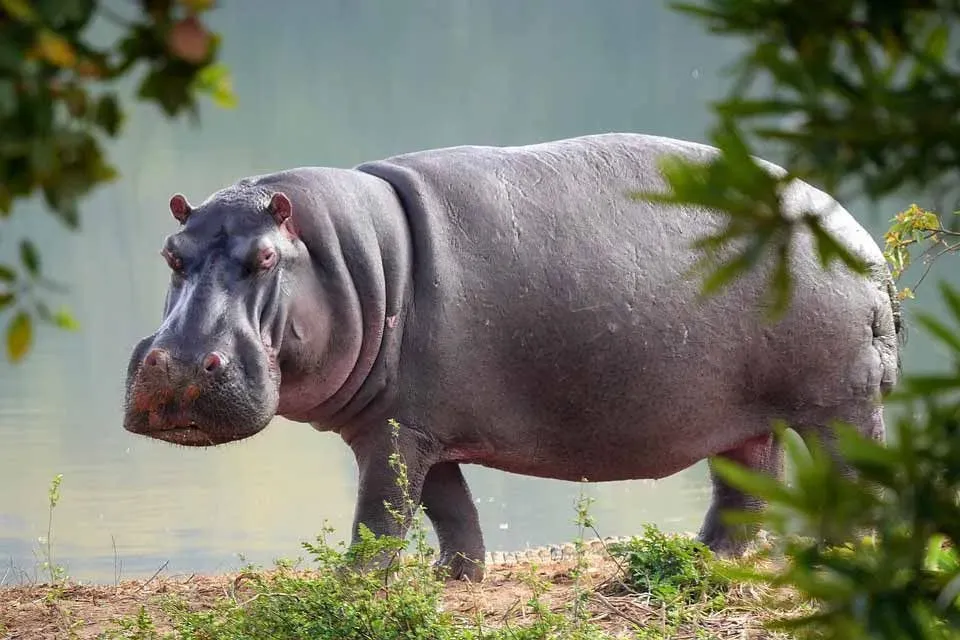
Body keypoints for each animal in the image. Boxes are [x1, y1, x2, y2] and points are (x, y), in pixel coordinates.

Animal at [123, 133, 902, 582]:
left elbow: (380, 515)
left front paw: (352, 587)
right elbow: (449, 509)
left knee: (854, 478)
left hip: (839, 404)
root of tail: (860, 240)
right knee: (746, 490)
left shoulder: (397, 433)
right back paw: (700, 560)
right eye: (170, 253)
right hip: (745, 419)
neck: (346, 257)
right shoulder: (412, 424)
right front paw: (454, 578)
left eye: (263, 258)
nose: (179, 365)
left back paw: (844, 556)